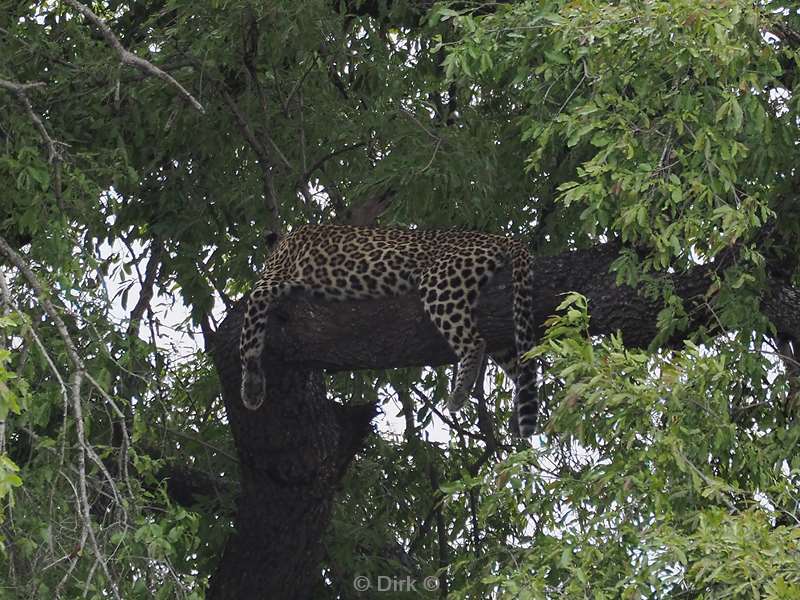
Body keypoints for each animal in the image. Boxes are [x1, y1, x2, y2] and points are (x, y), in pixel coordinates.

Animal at [238, 225, 536, 436]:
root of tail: (497, 237)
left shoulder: (269, 282)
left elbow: (247, 338)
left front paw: (251, 389)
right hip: (499, 331)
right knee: (519, 361)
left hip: (440, 281)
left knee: (475, 342)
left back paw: (459, 394)